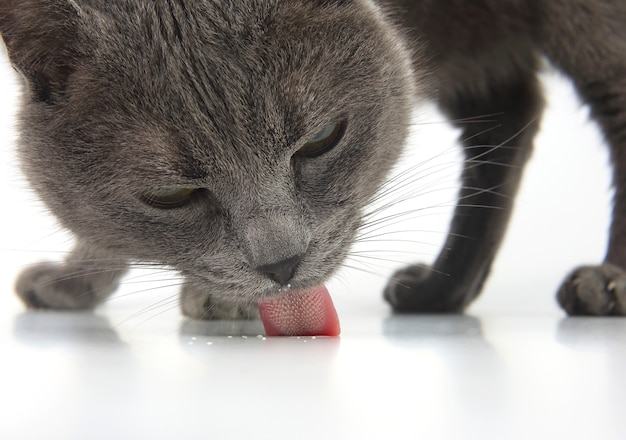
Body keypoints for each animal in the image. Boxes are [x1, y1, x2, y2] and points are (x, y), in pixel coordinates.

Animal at [0, 0, 620, 330]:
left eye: (322, 139)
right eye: (168, 196)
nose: (282, 265)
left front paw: (226, 300)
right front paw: (75, 281)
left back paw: (607, 282)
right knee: (507, 117)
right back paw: (438, 292)